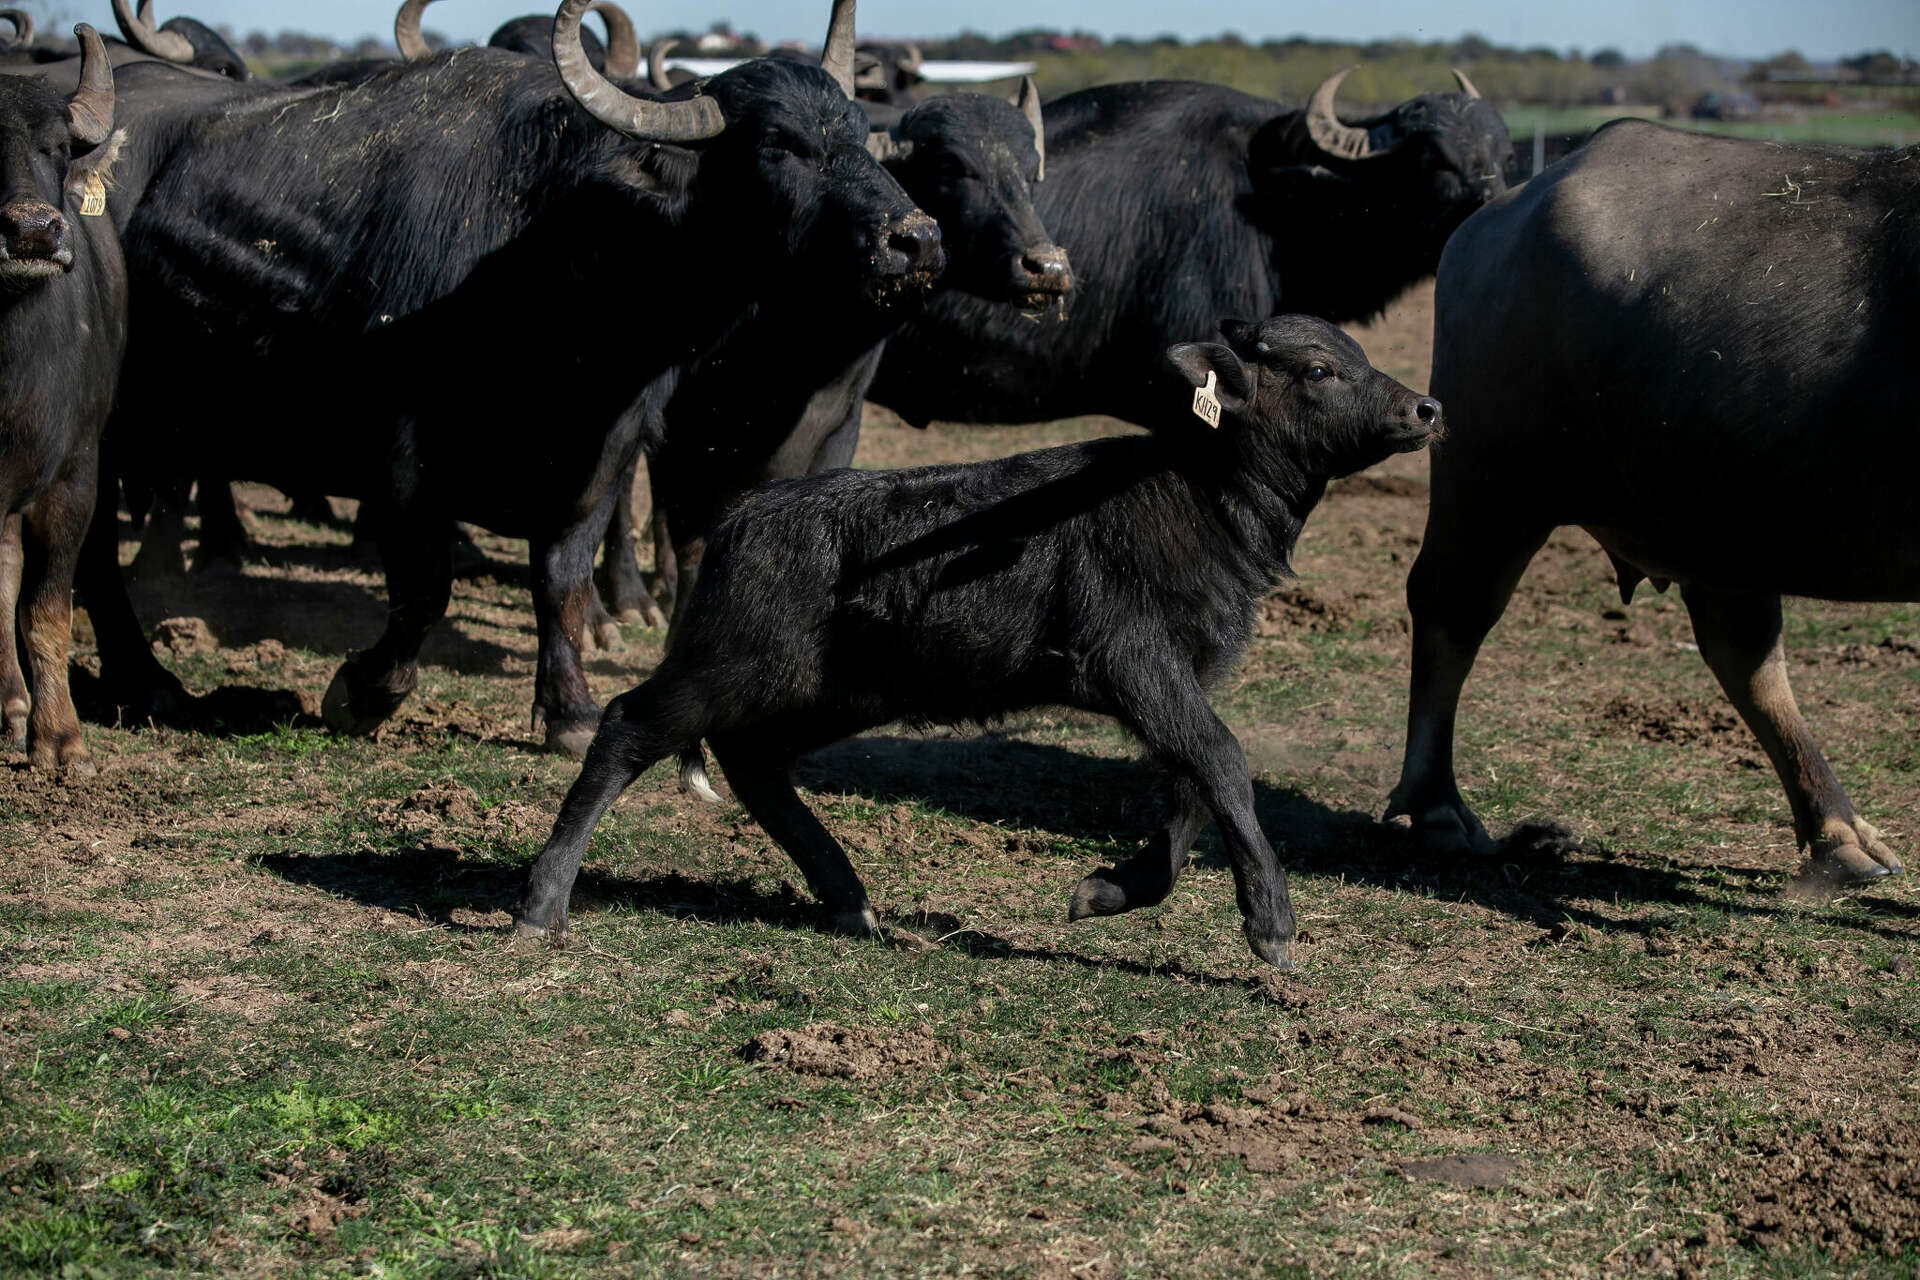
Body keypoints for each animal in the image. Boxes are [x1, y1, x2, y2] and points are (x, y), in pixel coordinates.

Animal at [517, 315, 1443, 967]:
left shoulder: (1182, 675)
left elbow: (1194, 783)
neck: (1193, 495)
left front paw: (1110, 889)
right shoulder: (1132, 659)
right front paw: (1271, 923)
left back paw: (848, 899)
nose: (1426, 408)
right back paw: (542, 901)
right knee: (630, 726)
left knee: (756, 761)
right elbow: (1220, 760)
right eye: (1318, 370)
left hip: (838, 689)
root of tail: (741, 519)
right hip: (732, 662)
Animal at [1387, 120, 1917, 886]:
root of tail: (1506, 208)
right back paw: (1437, 808)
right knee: (1451, 606)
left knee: (1742, 650)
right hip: (1493, 477)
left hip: (1719, 516)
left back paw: (1840, 834)